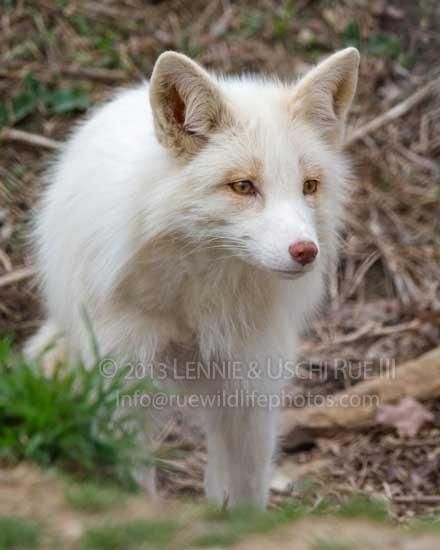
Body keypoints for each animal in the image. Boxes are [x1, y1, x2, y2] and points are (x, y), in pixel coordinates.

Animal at [25, 48, 360, 508]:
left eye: (309, 186)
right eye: (243, 186)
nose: (306, 251)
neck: (198, 301)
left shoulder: (250, 386)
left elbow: (247, 492)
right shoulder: (123, 377)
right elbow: (136, 482)